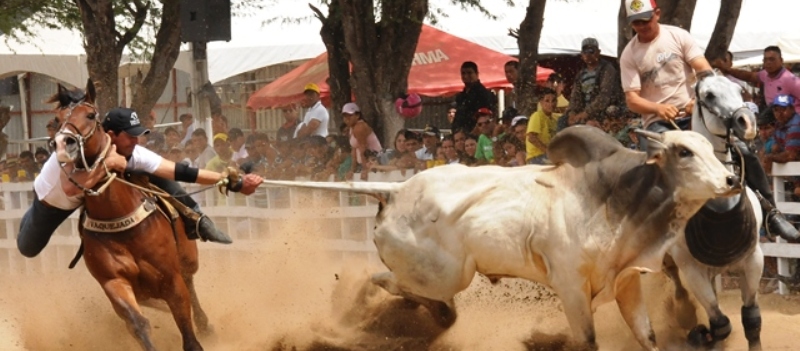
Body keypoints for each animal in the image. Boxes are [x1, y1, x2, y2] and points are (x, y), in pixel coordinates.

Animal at [51, 80, 211, 351]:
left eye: (90, 115)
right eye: (57, 119)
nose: (64, 143)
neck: (121, 219)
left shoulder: (171, 278)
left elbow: (185, 322)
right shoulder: (113, 282)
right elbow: (137, 323)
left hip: (188, 259)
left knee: (191, 286)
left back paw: (206, 324)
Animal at [262, 127, 736, 351]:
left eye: (709, 147)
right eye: (684, 151)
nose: (732, 179)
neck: (615, 200)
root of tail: (394, 190)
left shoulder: (626, 282)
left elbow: (647, 335)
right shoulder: (570, 288)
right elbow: (587, 339)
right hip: (442, 273)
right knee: (384, 281)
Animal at [664, 75, 764, 350]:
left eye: (739, 89)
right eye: (709, 95)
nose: (747, 122)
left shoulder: (753, 259)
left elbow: (751, 320)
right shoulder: (692, 269)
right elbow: (720, 323)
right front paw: (701, 335)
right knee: (674, 280)